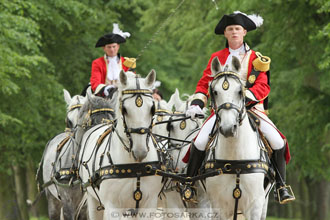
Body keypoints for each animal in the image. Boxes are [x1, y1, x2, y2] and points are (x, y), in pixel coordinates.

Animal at [79, 71, 163, 220]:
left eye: (152, 108)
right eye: (124, 109)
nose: (140, 152)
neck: (135, 166)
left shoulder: (148, 205)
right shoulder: (112, 207)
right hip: (93, 200)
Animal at [206, 55, 270, 219]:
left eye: (240, 91)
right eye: (215, 92)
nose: (228, 128)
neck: (235, 160)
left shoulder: (255, 206)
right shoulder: (219, 207)